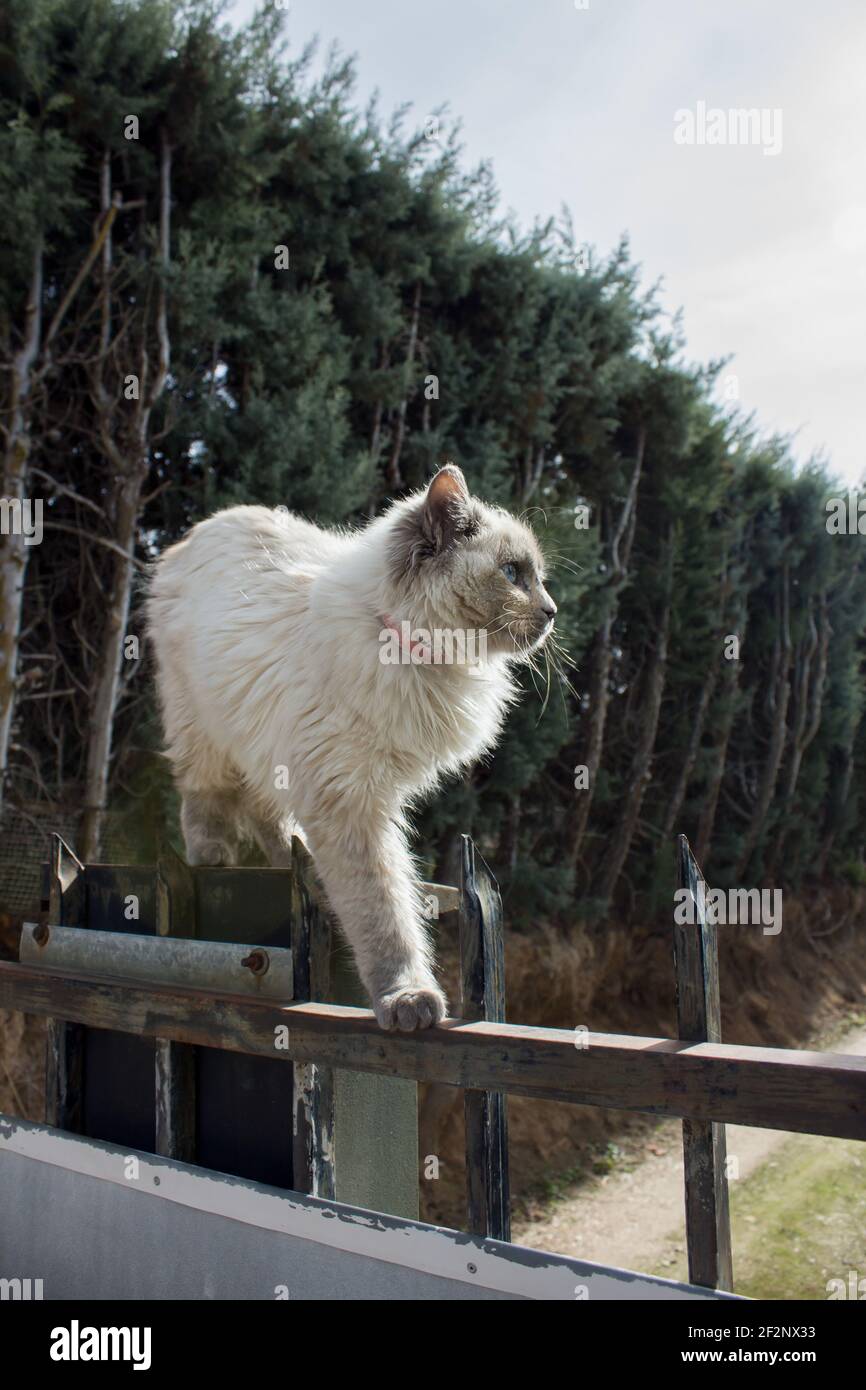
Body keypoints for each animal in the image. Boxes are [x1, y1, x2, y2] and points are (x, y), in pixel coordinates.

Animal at [148, 472, 556, 1028]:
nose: (552, 612)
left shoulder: (347, 789)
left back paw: (292, 853)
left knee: (268, 815)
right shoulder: (350, 799)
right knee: (202, 797)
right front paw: (407, 998)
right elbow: (384, 913)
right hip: (202, 730)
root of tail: (201, 530)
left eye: (539, 578)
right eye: (513, 574)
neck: (413, 653)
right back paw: (212, 854)